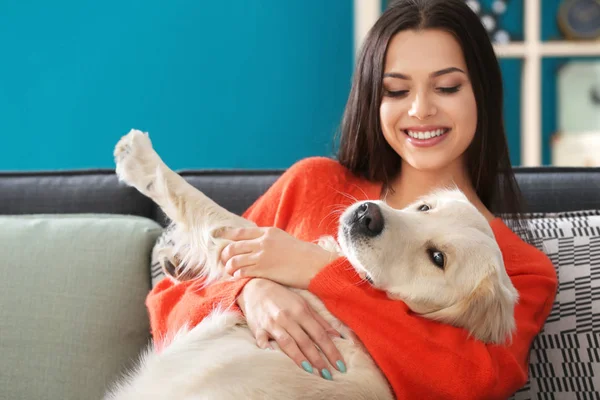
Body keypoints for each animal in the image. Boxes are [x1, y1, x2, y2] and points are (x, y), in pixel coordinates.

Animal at [106, 130, 520, 398]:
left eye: (437, 258)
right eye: (424, 207)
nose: (367, 215)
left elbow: (207, 208)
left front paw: (139, 159)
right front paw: (177, 262)